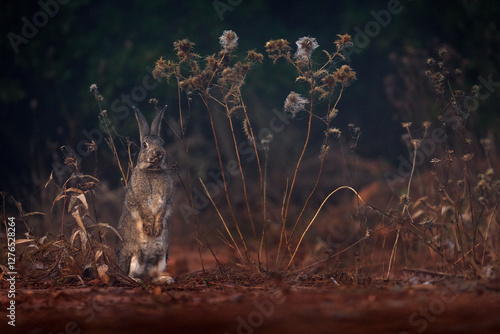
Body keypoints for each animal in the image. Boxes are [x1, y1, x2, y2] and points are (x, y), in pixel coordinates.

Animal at [116, 105, 175, 284]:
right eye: (144, 144)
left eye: (162, 143)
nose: (159, 153)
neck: (153, 171)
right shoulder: (140, 199)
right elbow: (145, 212)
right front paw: (150, 229)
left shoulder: (166, 201)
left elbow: (161, 213)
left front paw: (157, 229)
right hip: (132, 254)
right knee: (129, 275)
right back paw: (137, 281)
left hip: (162, 256)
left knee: (153, 276)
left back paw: (166, 280)